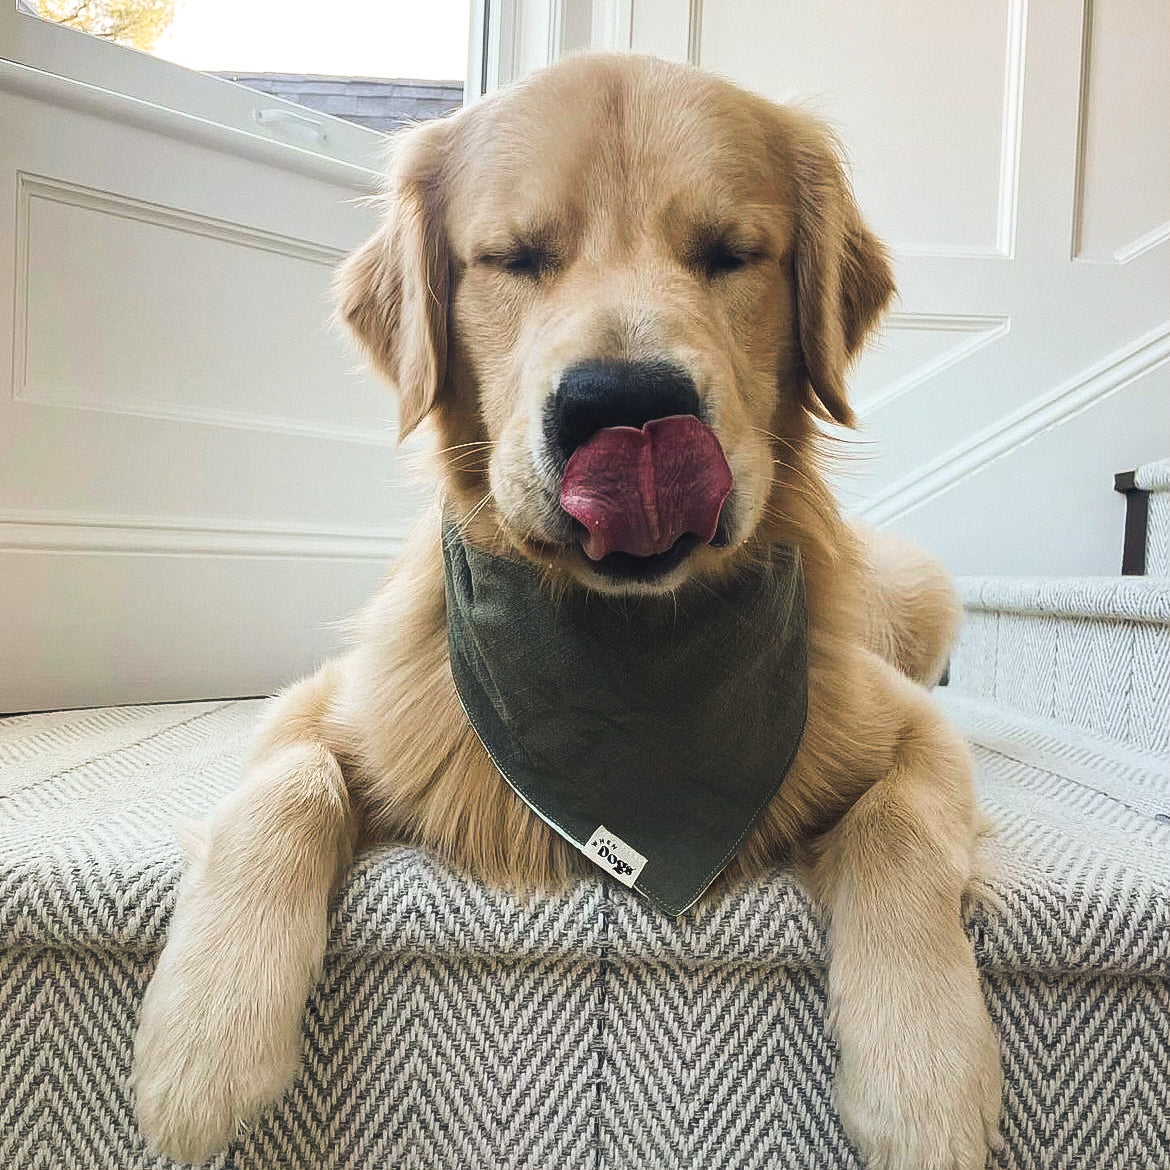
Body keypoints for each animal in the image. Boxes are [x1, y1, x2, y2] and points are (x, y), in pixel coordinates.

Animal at [132, 54, 1001, 1170]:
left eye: (731, 254)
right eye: (514, 258)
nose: (624, 405)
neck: (618, 652)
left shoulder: (909, 727)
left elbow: (901, 825)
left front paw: (924, 1080)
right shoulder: (331, 701)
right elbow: (285, 788)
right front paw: (207, 1040)